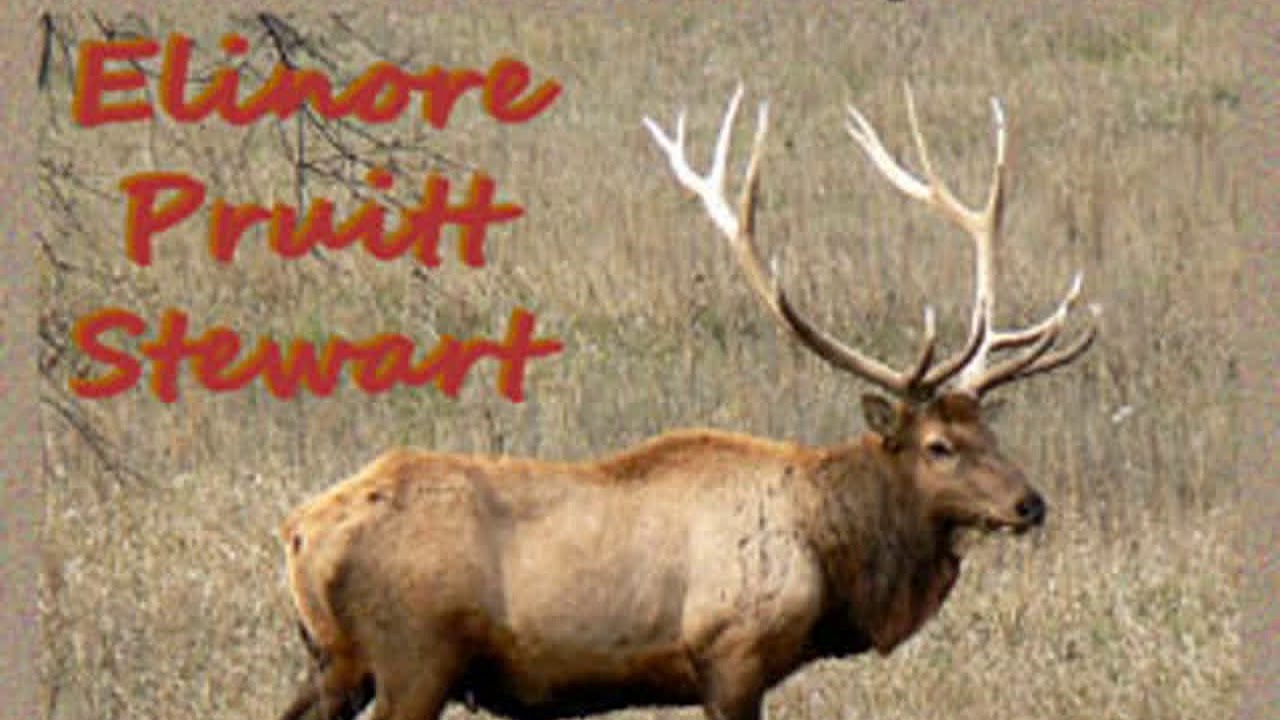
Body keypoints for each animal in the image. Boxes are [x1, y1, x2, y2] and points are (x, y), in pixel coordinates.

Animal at [275, 82, 1096, 720]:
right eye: (938, 446)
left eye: (990, 430)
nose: (1030, 503)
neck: (832, 554)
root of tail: (299, 530)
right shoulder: (732, 654)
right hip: (413, 658)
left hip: (335, 663)